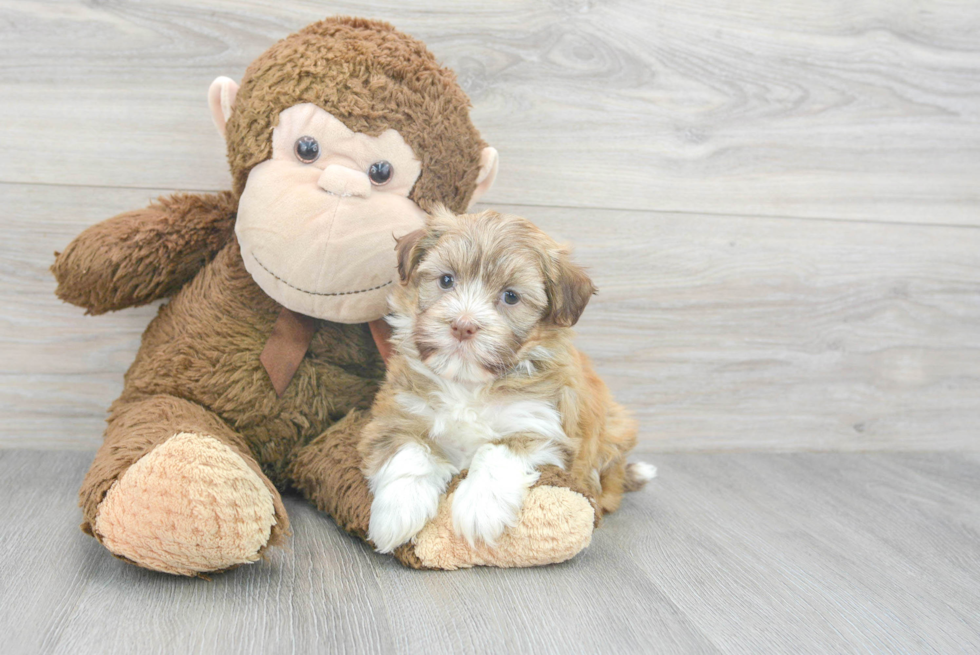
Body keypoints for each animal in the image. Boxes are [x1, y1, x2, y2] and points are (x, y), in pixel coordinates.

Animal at [358, 206, 652, 552]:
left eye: (511, 297)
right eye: (446, 280)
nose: (463, 325)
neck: (468, 383)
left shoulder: (542, 425)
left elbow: (497, 453)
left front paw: (478, 509)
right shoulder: (398, 412)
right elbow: (410, 452)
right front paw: (398, 511)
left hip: (615, 429)